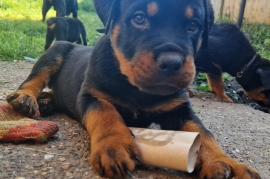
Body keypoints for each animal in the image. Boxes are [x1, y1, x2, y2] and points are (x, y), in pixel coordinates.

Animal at [5, 0, 260, 179]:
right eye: (139, 18)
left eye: (193, 25)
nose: (172, 63)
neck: (138, 89)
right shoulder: (91, 96)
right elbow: (106, 113)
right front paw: (114, 146)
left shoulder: (180, 110)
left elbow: (204, 133)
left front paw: (230, 164)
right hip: (56, 50)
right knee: (35, 78)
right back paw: (27, 99)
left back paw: (46, 102)